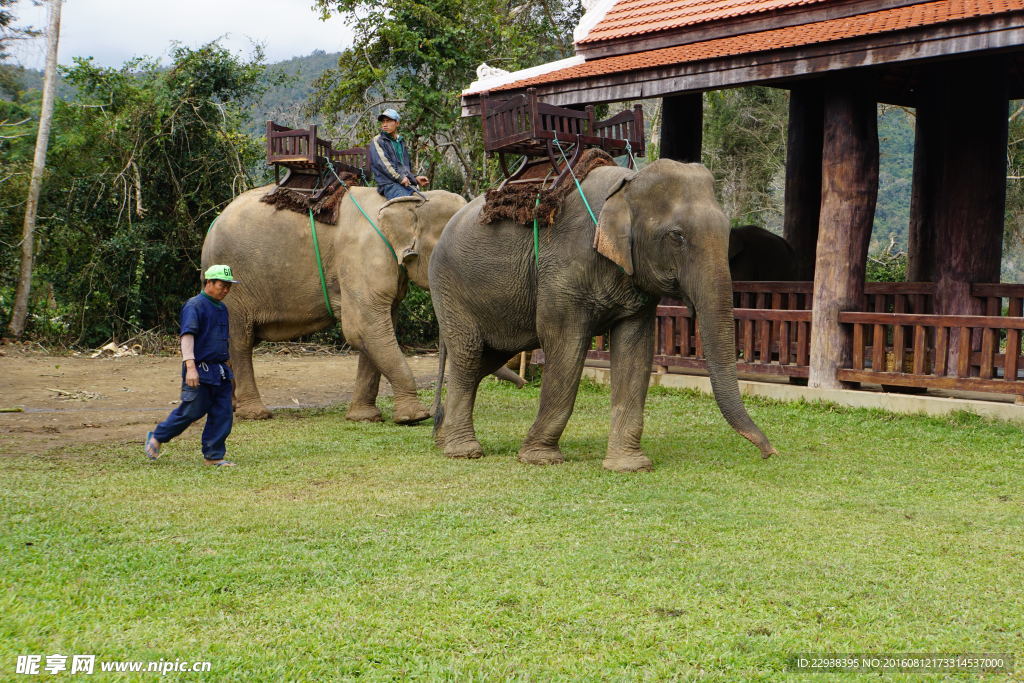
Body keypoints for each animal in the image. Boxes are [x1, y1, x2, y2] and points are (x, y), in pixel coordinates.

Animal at [203, 184, 475, 423]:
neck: (406, 200)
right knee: (239, 340)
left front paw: (366, 418)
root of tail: (214, 224)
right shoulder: (364, 256)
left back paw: (232, 407)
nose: (437, 413)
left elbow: (375, 329)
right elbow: (362, 328)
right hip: (234, 285)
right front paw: (414, 418)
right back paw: (255, 414)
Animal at [430, 158, 774, 475]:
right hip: (450, 289)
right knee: (469, 355)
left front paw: (629, 466)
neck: (626, 186)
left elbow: (635, 352)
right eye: (676, 236)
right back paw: (463, 451)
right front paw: (540, 458)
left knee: (486, 360)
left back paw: (441, 437)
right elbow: (566, 348)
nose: (770, 453)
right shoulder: (562, 270)